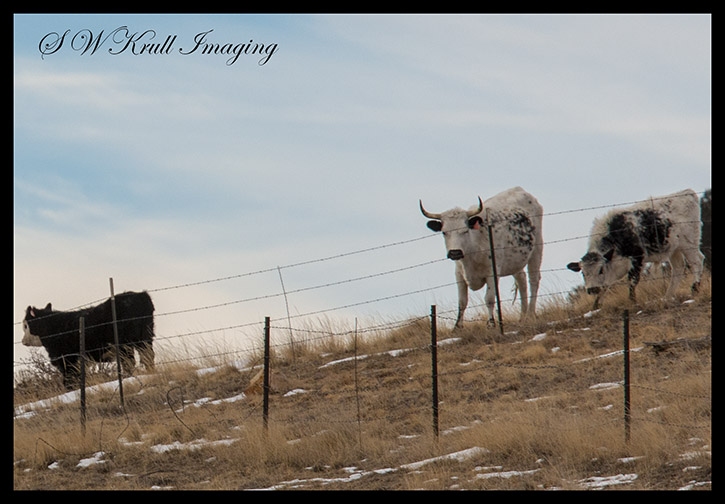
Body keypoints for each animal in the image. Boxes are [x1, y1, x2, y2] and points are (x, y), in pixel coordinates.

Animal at [22, 291, 155, 389]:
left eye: (25, 325)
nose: (23, 341)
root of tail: (141, 295)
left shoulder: (68, 360)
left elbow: (70, 379)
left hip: (125, 344)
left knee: (130, 362)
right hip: (145, 338)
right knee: (147, 357)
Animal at [420, 186, 544, 329]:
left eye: (465, 230)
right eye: (444, 232)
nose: (455, 252)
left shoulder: (492, 273)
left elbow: (489, 299)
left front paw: (491, 323)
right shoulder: (459, 274)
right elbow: (462, 301)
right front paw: (457, 327)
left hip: (537, 249)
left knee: (533, 280)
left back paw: (530, 313)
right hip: (516, 261)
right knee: (522, 280)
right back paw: (522, 316)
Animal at [566, 189, 705, 309]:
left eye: (600, 270)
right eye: (583, 273)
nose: (592, 289)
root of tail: (687, 192)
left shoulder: (637, 258)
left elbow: (632, 281)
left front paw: (632, 301)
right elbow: (605, 286)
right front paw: (595, 306)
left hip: (689, 243)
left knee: (696, 261)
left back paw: (695, 288)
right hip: (674, 249)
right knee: (678, 268)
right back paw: (668, 296)